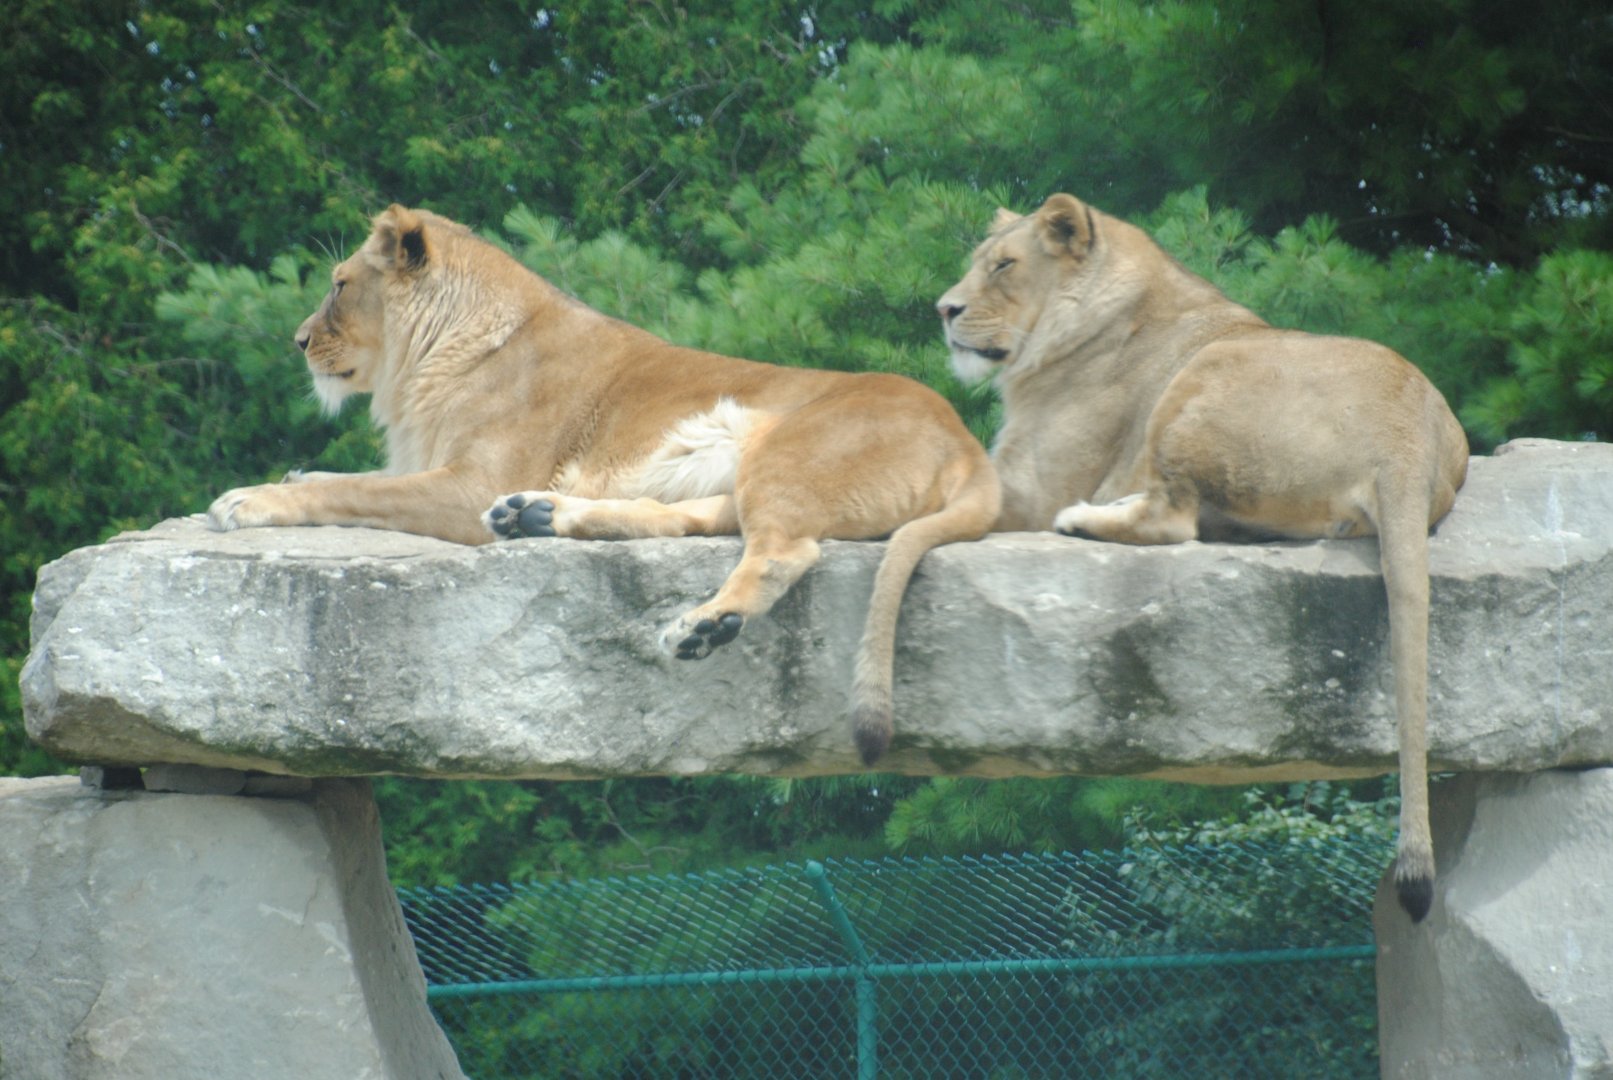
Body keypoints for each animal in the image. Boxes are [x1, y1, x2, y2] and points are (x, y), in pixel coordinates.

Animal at [208, 205, 999, 762]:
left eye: (340, 286)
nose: (298, 341)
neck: (428, 359)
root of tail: (967, 440)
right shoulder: (442, 470)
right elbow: (347, 476)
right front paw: (288, 472)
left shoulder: (467, 484)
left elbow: (352, 492)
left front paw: (247, 499)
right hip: (741, 471)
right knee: (695, 519)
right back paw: (535, 517)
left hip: (787, 451)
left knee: (783, 551)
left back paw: (698, 626)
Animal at [936, 194, 1468, 922]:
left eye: (1004, 266)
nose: (943, 309)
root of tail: (1406, 430)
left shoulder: (1028, 484)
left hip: (1200, 379)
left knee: (1173, 519)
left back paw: (1083, 521)